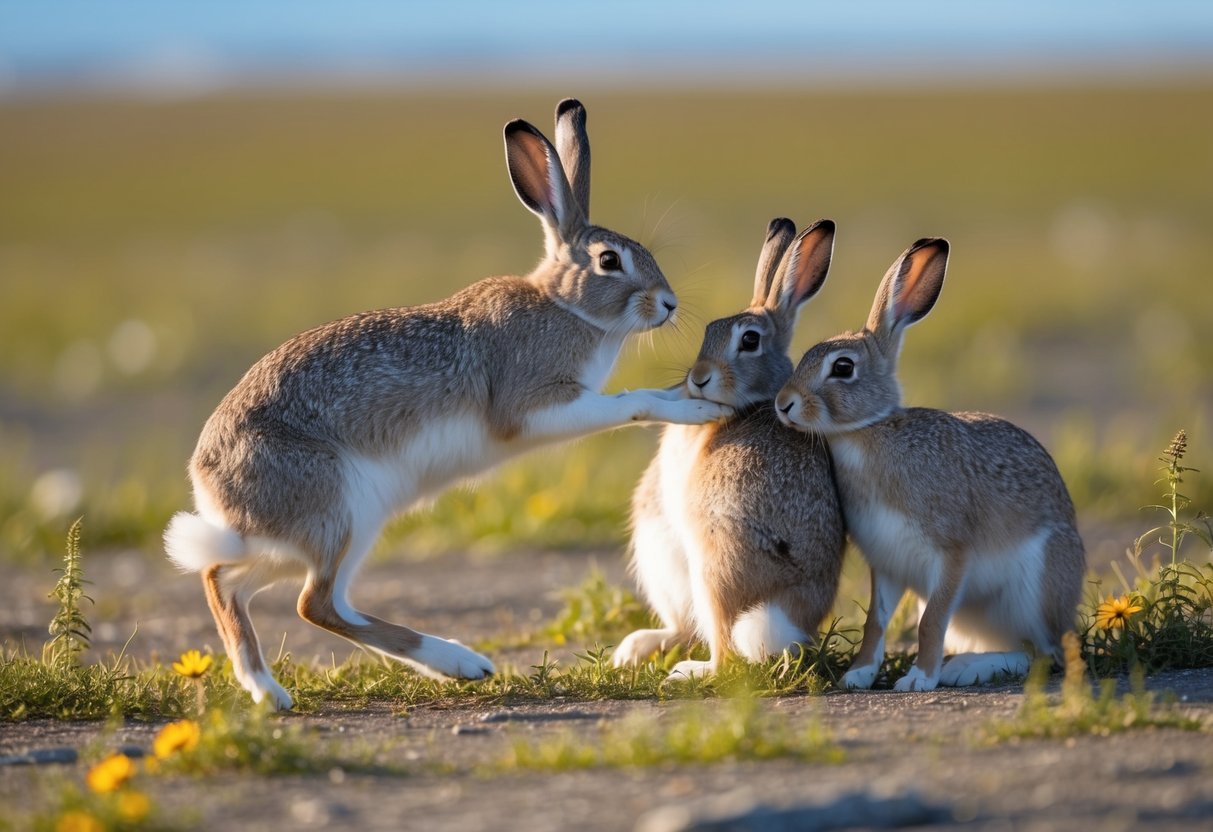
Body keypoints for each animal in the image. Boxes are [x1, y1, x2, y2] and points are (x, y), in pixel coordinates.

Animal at [162, 99, 731, 710]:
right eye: (609, 260)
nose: (669, 304)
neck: (563, 306)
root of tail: (208, 481)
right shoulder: (536, 404)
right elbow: (629, 402)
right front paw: (695, 410)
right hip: (342, 509)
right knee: (314, 603)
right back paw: (457, 661)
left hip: (298, 538)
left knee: (225, 582)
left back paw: (267, 689)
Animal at [612, 218, 847, 680]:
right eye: (708, 331)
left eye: (750, 341)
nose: (698, 378)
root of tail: (786, 615)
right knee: (685, 628)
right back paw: (636, 649)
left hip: (713, 566)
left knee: (725, 651)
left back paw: (688, 672)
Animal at [775, 237, 1086, 691]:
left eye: (843, 367)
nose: (783, 404)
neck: (868, 432)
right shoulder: (885, 563)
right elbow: (876, 623)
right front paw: (858, 676)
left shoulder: (953, 553)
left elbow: (929, 620)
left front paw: (918, 679)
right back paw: (962, 666)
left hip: (1036, 590)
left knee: (1044, 654)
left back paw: (964, 670)